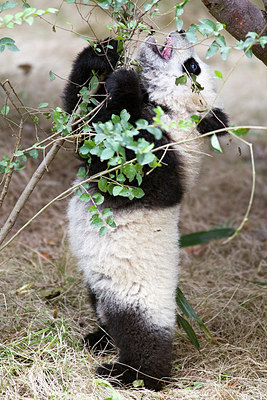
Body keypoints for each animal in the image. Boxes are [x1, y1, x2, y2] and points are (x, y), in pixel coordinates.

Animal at [63, 32, 229, 390]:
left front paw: (125, 83)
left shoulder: (170, 153)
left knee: (142, 338)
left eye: (192, 66)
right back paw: (98, 340)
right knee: (103, 310)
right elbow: (79, 122)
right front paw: (104, 52)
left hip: (139, 299)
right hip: (98, 287)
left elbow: (129, 165)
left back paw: (129, 374)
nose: (181, 32)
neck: (170, 109)